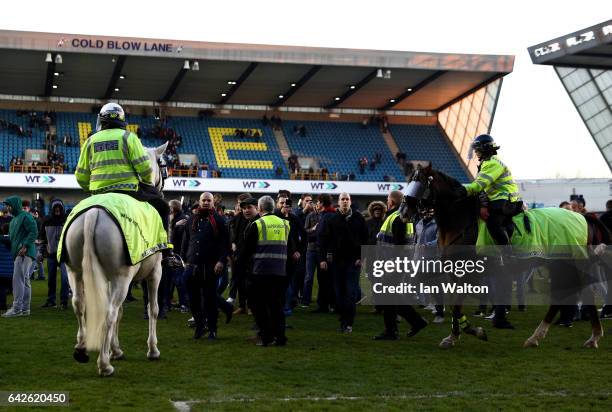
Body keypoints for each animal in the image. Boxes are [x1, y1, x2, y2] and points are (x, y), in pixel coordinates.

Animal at [64, 142, 167, 376]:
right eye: (163, 164)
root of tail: (94, 213)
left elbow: (121, 312)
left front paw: (116, 349)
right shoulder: (155, 273)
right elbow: (153, 309)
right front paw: (152, 349)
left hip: (74, 271)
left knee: (80, 304)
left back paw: (82, 349)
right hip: (123, 277)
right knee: (108, 312)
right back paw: (104, 365)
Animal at [400, 166, 608, 350]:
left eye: (419, 183)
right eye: (409, 181)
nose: (403, 212)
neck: (461, 223)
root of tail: (584, 218)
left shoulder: (468, 274)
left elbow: (456, 306)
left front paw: (473, 332)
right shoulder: (451, 271)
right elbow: (445, 299)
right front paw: (453, 335)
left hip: (571, 263)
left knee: (584, 293)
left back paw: (593, 337)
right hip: (559, 266)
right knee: (562, 296)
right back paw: (536, 337)